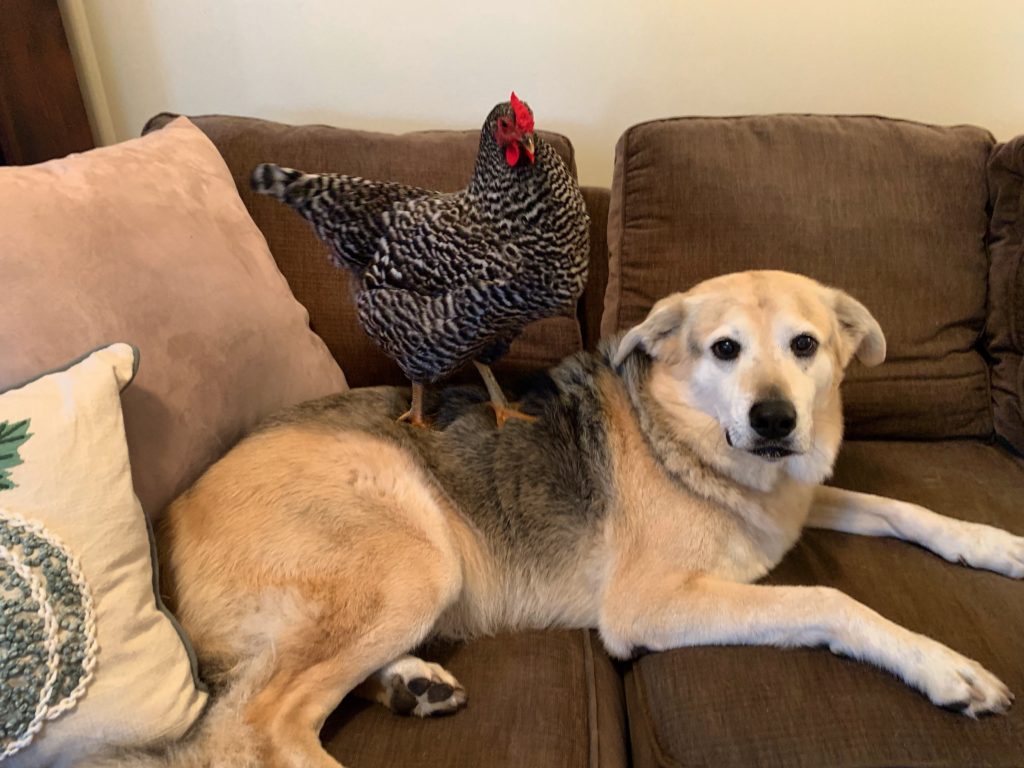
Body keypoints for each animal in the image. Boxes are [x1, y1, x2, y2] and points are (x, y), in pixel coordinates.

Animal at [138, 272, 1024, 768]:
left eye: (805, 345)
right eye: (725, 349)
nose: (775, 421)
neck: (686, 440)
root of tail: (167, 515)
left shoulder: (796, 502)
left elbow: (903, 508)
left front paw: (997, 542)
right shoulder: (653, 604)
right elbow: (828, 601)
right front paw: (942, 665)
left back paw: (410, 682)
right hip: (415, 555)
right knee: (254, 727)